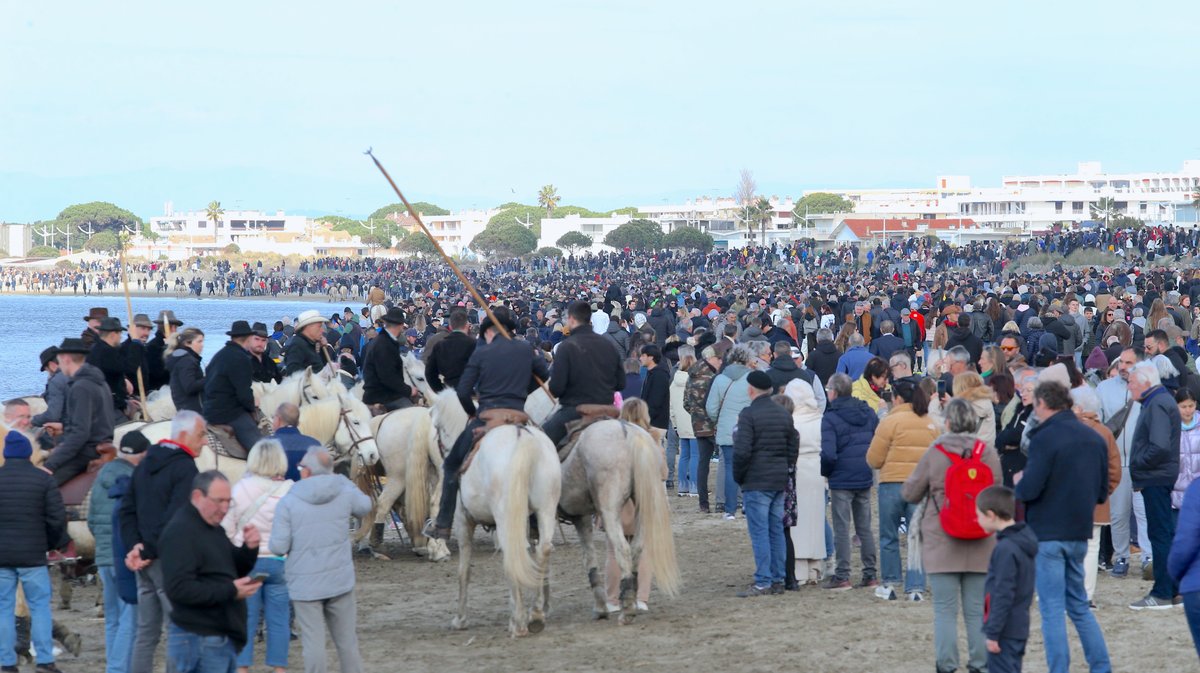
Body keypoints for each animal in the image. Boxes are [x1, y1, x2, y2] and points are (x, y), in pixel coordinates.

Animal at [432, 388, 561, 633]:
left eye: (436, 426)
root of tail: (522, 437)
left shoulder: (463, 521)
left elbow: (464, 570)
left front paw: (460, 619)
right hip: (545, 509)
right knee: (543, 550)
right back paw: (536, 614)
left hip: (505, 517)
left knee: (512, 555)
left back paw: (518, 621)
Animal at [556, 417, 681, 623]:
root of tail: (628, 430)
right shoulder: (581, 517)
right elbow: (589, 559)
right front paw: (600, 609)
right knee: (636, 548)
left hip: (610, 512)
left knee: (622, 549)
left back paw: (627, 610)